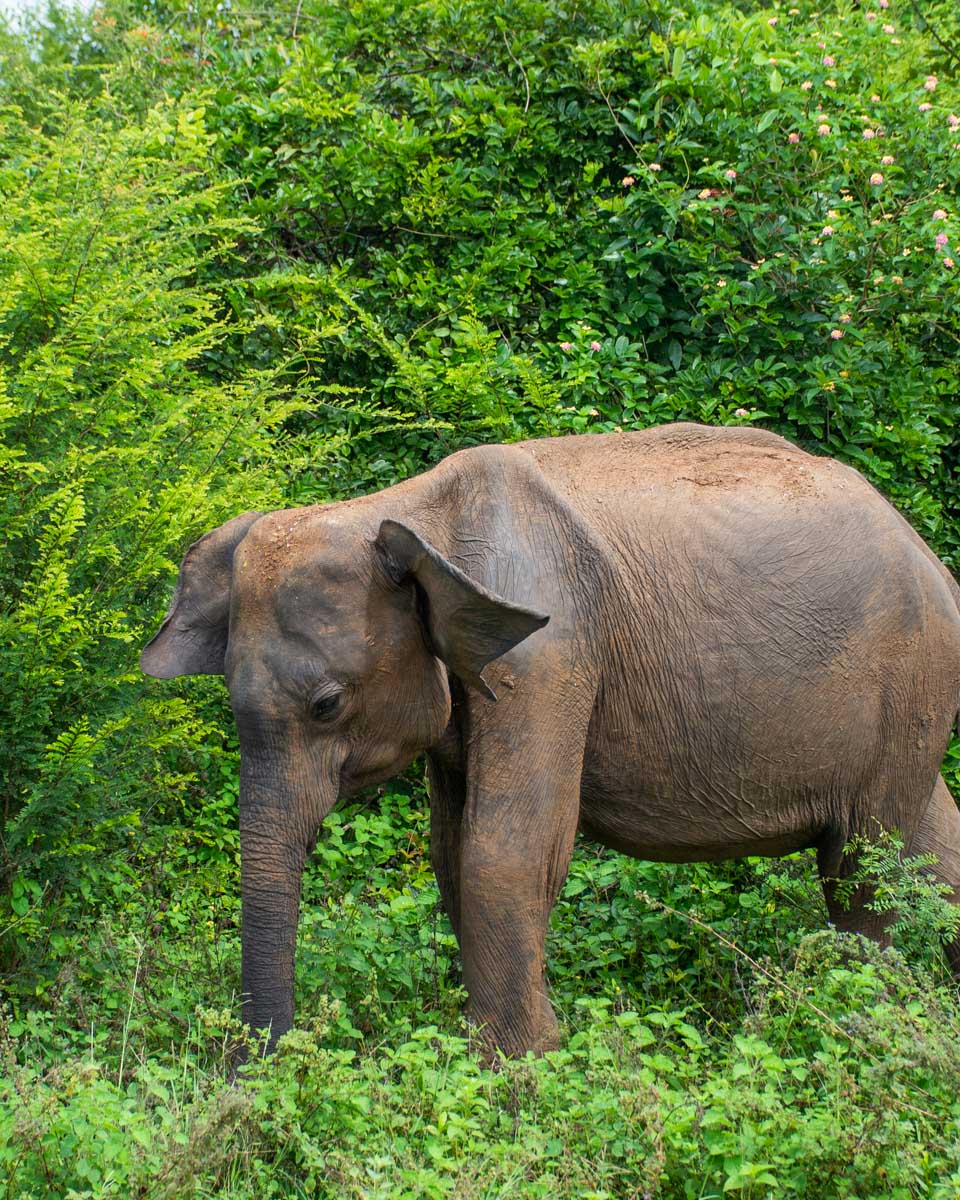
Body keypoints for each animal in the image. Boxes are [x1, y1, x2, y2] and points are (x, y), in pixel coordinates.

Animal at [141, 422, 960, 1057]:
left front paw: (523, 1070)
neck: (405, 513)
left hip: (912, 669)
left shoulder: (550, 651)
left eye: (326, 704)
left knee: (865, 866)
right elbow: (451, 851)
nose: (264, 1070)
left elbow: (506, 849)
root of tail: (926, 552)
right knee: (927, 844)